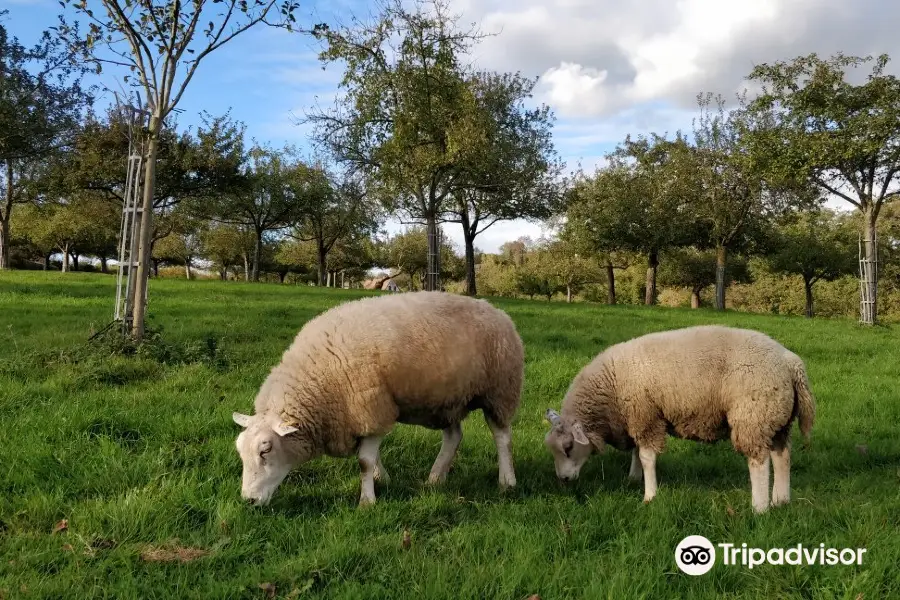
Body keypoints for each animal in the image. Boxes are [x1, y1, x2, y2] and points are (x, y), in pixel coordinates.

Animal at [232, 290, 524, 506]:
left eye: (265, 450)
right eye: (240, 451)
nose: (248, 501)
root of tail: (497, 310)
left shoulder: (371, 409)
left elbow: (363, 460)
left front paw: (367, 501)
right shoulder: (363, 413)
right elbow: (370, 457)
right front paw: (381, 479)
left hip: (500, 391)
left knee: (502, 437)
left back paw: (507, 482)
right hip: (447, 398)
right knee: (453, 437)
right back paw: (435, 478)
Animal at [540, 326, 816, 512]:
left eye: (568, 447)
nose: (563, 480)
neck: (610, 386)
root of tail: (791, 362)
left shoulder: (646, 416)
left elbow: (646, 457)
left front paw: (649, 496)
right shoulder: (639, 418)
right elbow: (637, 452)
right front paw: (633, 479)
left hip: (754, 415)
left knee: (759, 462)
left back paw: (759, 508)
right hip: (778, 419)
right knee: (782, 457)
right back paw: (781, 501)